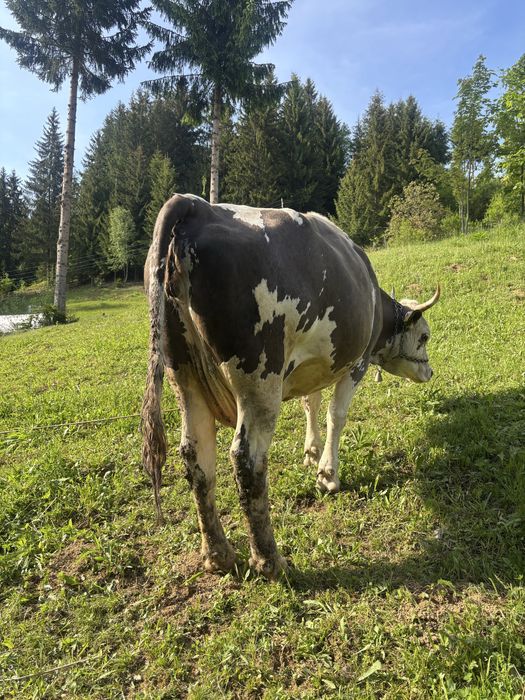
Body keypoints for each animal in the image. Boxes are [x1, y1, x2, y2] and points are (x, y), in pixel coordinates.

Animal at [141, 194, 440, 579]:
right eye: (424, 336)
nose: (429, 372)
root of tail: (197, 207)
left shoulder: (314, 365)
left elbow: (311, 404)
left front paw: (311, 452)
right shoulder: (354, 364)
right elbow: (335, 416)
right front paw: (327, 474)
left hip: (185, 378)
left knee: (197, 460)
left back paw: (218, 555)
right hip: (260, 377)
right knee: (246, 460)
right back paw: (269, 560)